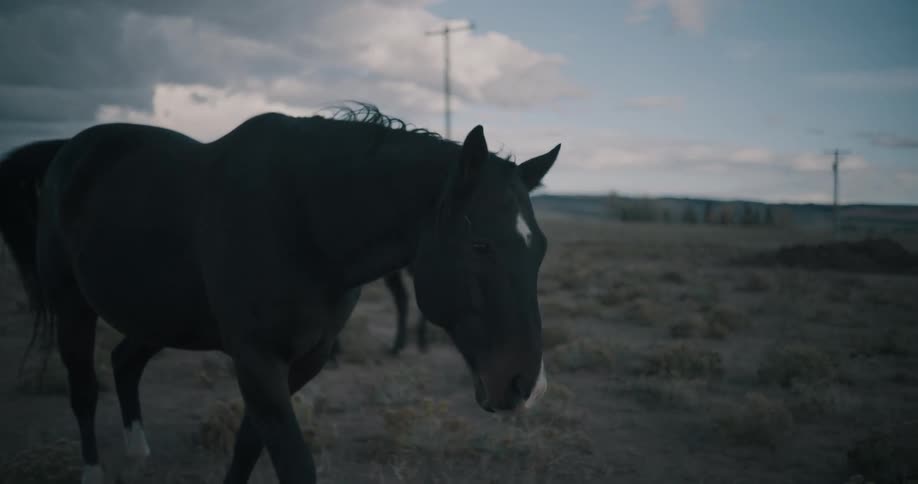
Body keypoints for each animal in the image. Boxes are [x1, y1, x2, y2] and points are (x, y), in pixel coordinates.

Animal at [0, 104, 560, 484]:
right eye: (480, 245)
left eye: (540, 249)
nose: (526, 386)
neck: (304, 223)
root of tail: (68, 149)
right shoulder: (256, 358)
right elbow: (292, 463)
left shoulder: (303, 360)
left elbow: (249, 445)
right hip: (73, 306)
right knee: (82, 387)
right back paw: (94, 471)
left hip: (160, 314)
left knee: (123, 361)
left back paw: (138, 454)